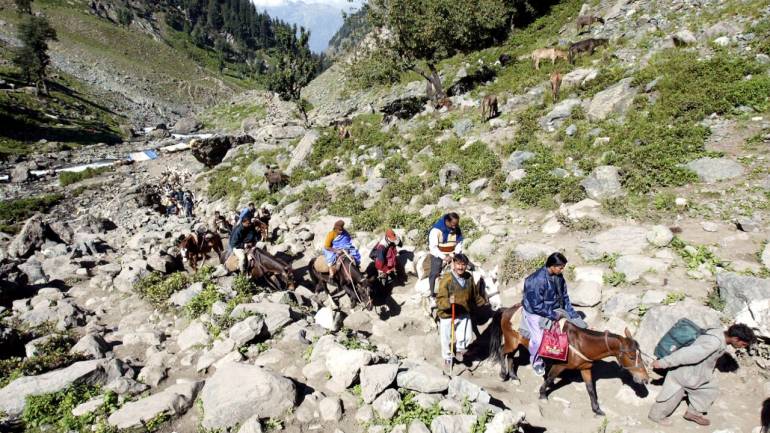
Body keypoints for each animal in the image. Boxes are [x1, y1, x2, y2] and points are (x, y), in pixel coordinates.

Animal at [486, 304, 648, 416]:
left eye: (640, 355)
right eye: (632, 356)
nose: (645, 379)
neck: (580, 343)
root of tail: (507, 310)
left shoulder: (585, 368)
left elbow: (591, 389)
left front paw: (597, 410)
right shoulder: (559, 365)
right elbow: (550, 378)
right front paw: (543, 395)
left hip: (516, 343)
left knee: (510, 356)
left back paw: (514, 377)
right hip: (511, 341)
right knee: (502, 351)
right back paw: (503, 375)